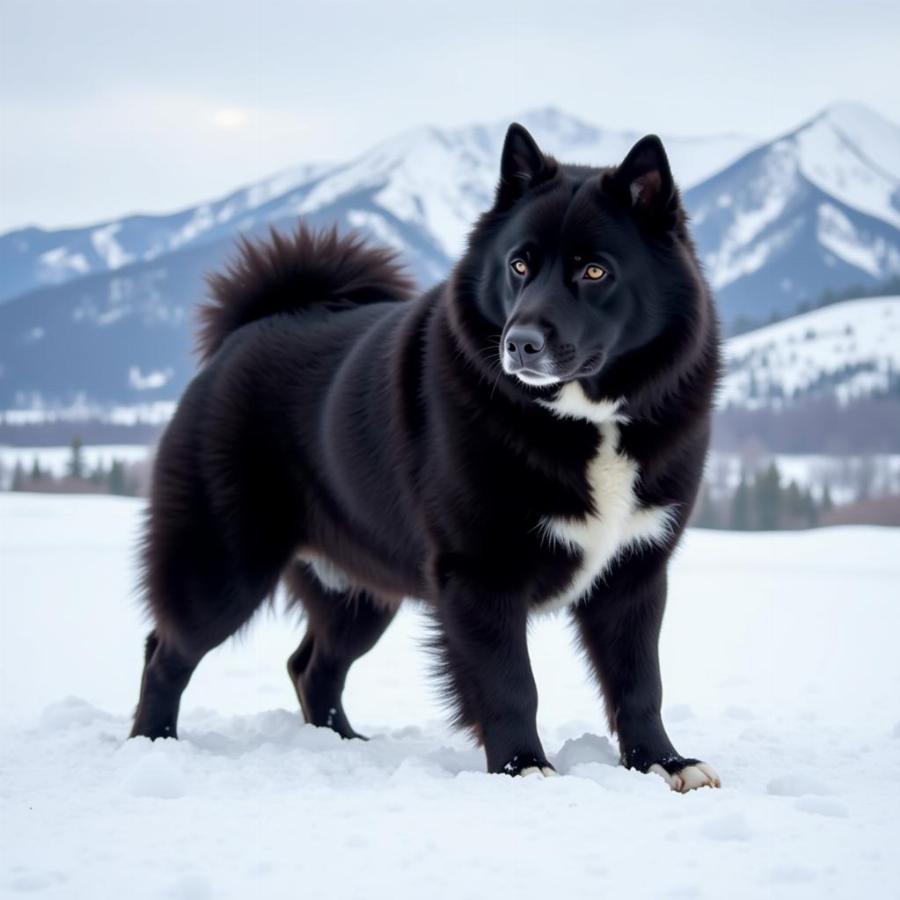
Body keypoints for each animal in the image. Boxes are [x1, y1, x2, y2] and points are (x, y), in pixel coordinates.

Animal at [132, 123, 724, 792]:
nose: (520, 343)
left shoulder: (633, 573)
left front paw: (663, 763)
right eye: (519, 264)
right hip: (223, 567)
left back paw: (341, 744)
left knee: (312, 666)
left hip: (358, 591)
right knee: (167, 652)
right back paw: (153, 743)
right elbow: (510, 685)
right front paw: (524, 769)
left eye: (595, 271)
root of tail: (247, 330)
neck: (583, 419)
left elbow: (639, 682)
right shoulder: (480, 577)